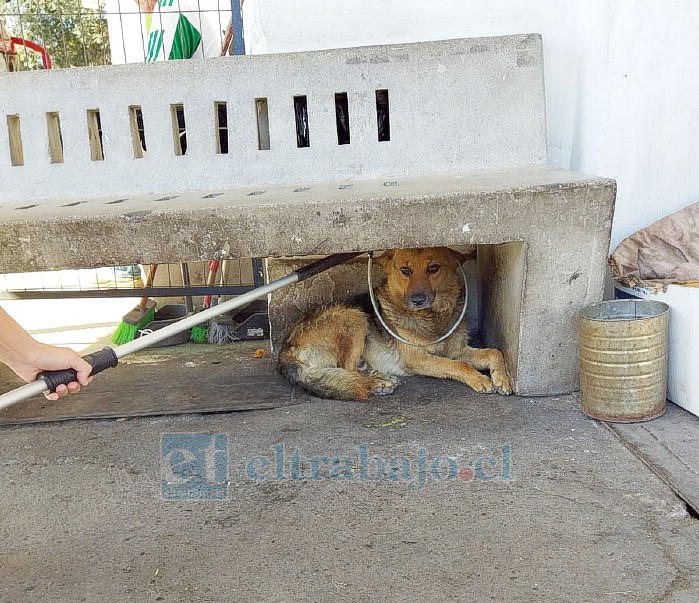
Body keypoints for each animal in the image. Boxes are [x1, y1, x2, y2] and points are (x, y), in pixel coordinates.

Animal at [278, 248, 516, 404]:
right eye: (405, 270)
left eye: (433, 268)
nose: (418, 300)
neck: (431, 317)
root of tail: (286, 349)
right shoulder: (417, 358)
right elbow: (458, 365)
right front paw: (480, 379)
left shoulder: (457, 350)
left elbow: (495, 352)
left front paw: (502, 378)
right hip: (354, 317)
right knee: (347, 369)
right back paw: (377, 383)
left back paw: (377, 376)